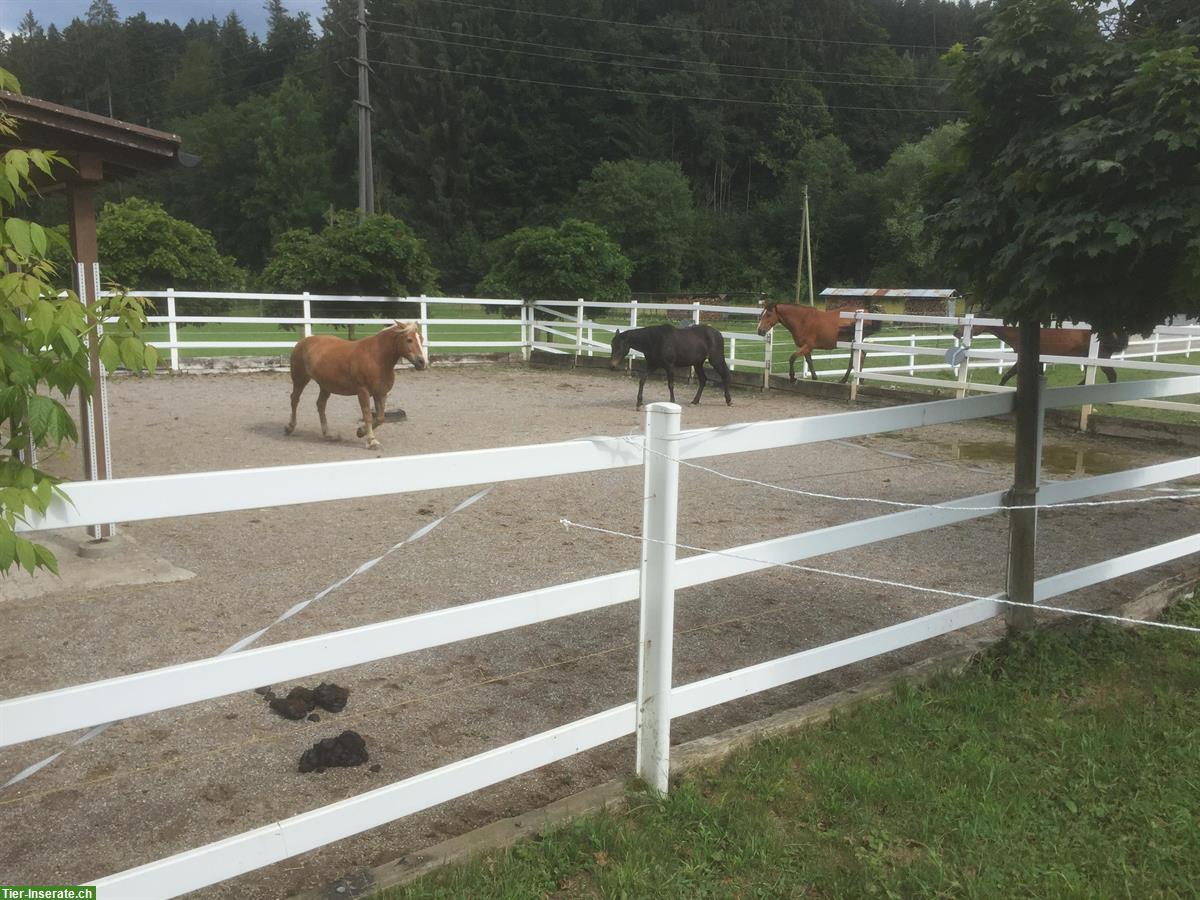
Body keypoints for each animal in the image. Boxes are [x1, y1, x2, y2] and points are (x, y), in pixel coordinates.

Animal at [285, 321, 428, 449]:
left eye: (421, 339)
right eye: (409, 340)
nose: (422, 362)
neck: (376, 358)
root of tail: (302, 342)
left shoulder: (381, 393)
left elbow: (380, 418)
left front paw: (360, 432)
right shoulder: (363, 392)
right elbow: (368, 415)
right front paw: (372, 441)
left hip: (325, 386)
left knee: (320, 405)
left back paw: (327, 434)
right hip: (300, 379)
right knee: (294, 400)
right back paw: (289, 427)